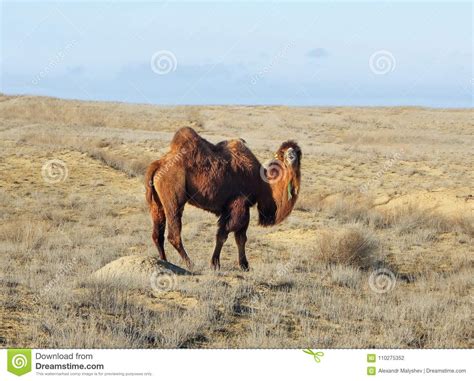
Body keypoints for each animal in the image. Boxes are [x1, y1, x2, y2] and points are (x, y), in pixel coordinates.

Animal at [144, 127, 302, 270]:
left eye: (298, 152)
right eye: (282, 154)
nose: (291, 156)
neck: (263, 183)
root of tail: (157, 165)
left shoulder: (230, 207)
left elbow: (236, 237)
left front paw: (242, 265)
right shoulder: (240, 204)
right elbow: (229, 235)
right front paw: (218, 264)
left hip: (157, 204)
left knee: (157, 234)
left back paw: (165, 262)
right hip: (174, 200)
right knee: (173, 235)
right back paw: (190, 264)